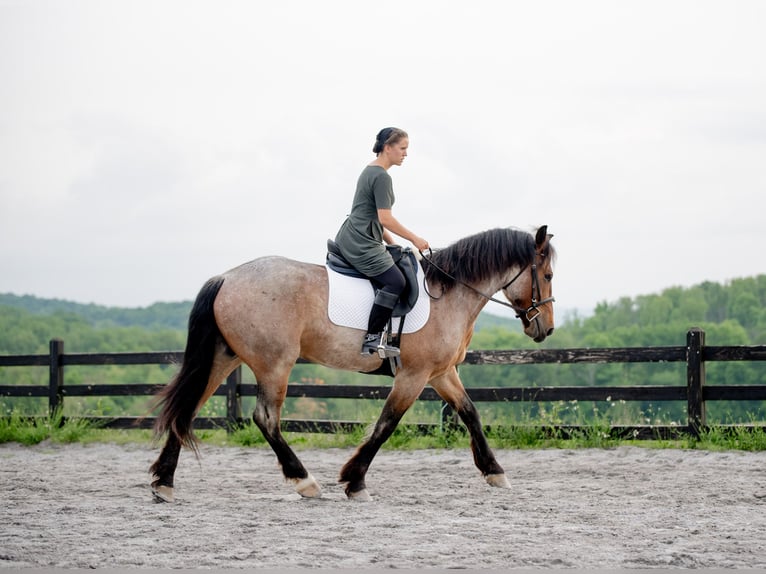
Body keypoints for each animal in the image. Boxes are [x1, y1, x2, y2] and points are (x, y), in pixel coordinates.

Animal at [152, 225, 560, 504]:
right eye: (548, 275)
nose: (546, 328)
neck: (449, 294)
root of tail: (225, 278)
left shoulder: (441, 373)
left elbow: (470, 413)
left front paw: (495, 472)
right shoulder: (413, 375)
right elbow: (386, 424)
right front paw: (355, 481)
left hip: (224, 358)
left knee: (187, 409)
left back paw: (164, 483)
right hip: (274, 364)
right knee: (265, 418)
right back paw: (304, 481)